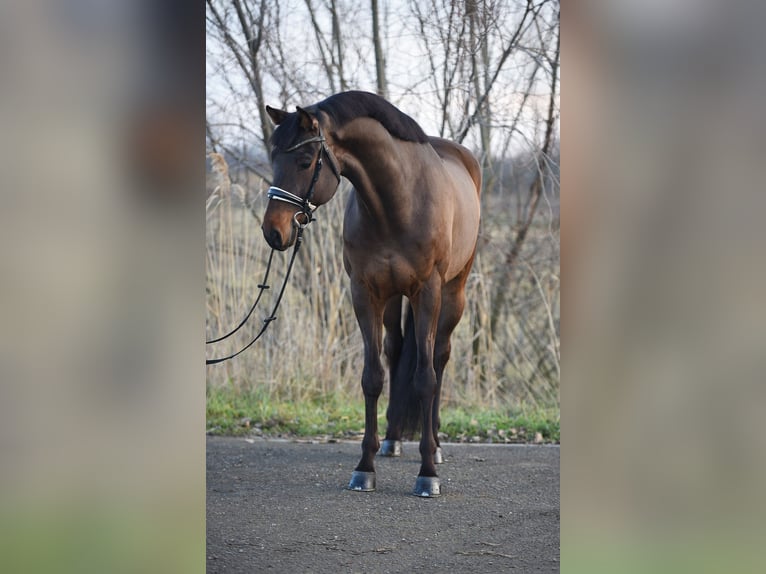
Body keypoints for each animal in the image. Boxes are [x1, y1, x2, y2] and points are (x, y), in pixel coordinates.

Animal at [264, 92, 480, 498]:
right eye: (272, 158)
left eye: (305, 161)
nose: (273, 232)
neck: (398, 202)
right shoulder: (365, 295)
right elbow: (372, 377)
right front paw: (365, 467)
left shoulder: (428, 293)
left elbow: (425, 378)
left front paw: (427, 474)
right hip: (394, 299)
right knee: (395, 351)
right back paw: (393, 439)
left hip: (453, 293)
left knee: (440, 358)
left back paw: (436, 446)